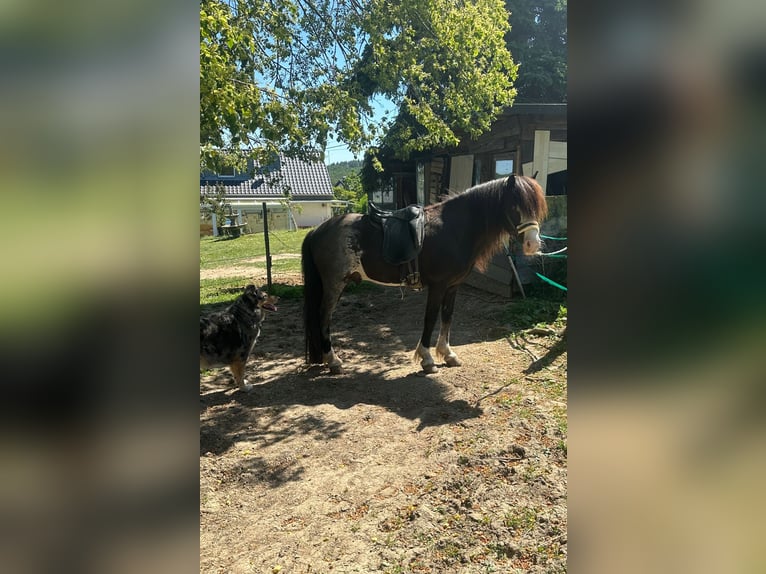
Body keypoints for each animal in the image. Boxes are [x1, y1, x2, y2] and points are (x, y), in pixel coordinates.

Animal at [301, 174, 548, 374]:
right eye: (515, 207)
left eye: (535, 208)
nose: (533, 244)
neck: (454, 228)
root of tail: (318, 231)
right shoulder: (437, 286)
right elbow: (430, 319)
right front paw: (427, 359)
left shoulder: (453, 286)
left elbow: (447, 317)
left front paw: (448, 354)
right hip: (335, 285)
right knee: (324, 317)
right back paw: (333, 361)